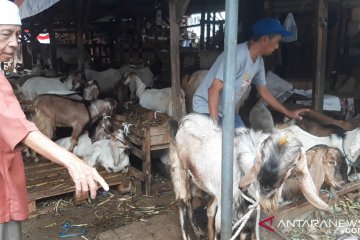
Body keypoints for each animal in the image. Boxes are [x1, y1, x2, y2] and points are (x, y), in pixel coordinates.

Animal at [169, 113, 332, 239]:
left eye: (292, 164)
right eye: (263, 154)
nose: (266, 184)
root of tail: (184, 121)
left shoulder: (247, 219)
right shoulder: (225, 217)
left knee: (196, 203)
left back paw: (199, 231)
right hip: (179, 172)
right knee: (183, 203)